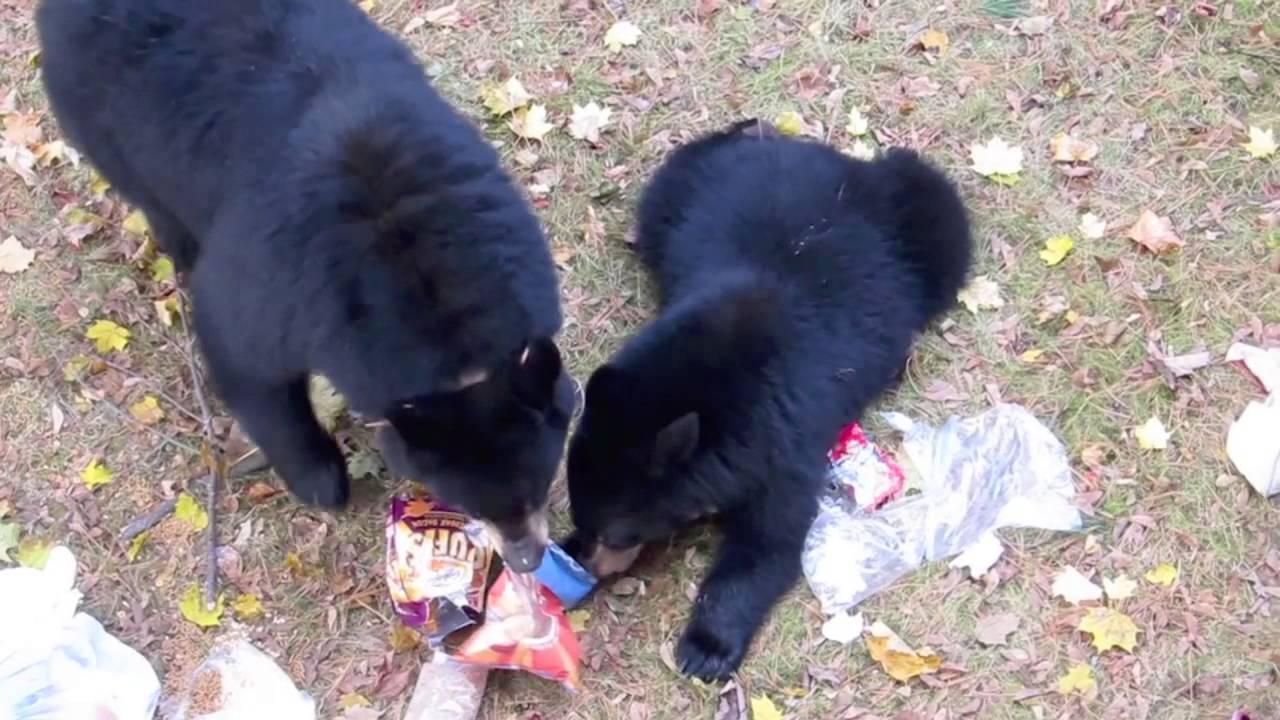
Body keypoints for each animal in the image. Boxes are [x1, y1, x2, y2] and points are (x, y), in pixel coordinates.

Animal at [37, 0, 572, 571]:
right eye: (468, 502)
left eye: (540, 486)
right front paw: (322, 479)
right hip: (107, 125)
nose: (526, 560)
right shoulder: (291, 282)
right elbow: (244, 357)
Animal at [565, 119, 973, 678]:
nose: (583, 561)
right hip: (679, 184)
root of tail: (818, 152)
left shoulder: (784, 433)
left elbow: (770, 534)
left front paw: (707, 645)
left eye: (619, 532)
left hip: (917, 216)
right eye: (583, 518)